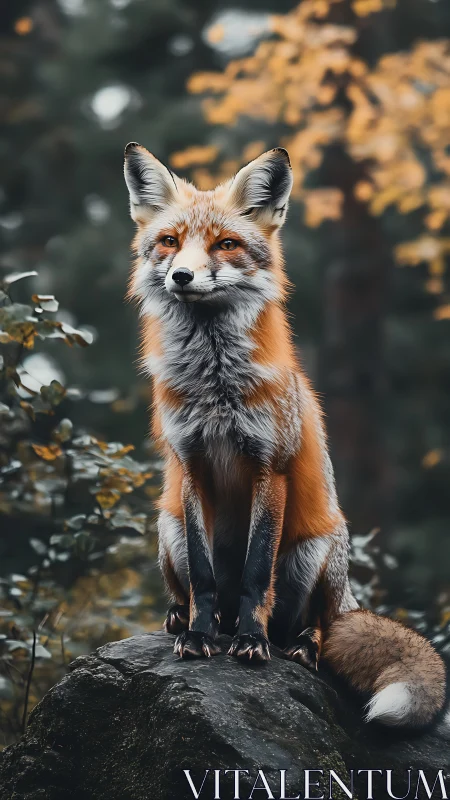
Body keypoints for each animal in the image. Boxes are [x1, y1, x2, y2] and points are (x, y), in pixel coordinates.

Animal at [123, 142, 446, 729]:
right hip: (168, 527)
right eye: (170, 241)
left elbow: (256, 573)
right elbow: (205, 576)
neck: (216, 384)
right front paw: (201, 638)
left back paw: (295, 645)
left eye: (225, 244)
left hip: (314, 552)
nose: (181, 276)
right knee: (194, 591)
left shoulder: (267, 467)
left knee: (312, 623)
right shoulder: (192, 464)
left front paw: (250, 644)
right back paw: (185, 620)